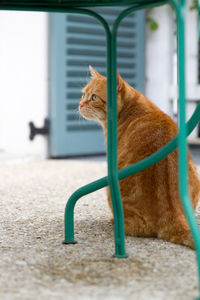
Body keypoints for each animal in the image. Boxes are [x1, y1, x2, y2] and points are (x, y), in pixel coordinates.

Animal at [79, 65, 200, 248]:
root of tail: (172, 211)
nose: (79, 104)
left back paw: (115, 221)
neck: (129, 108)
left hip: (111, 188)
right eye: (83, 94)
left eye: (93, 97)